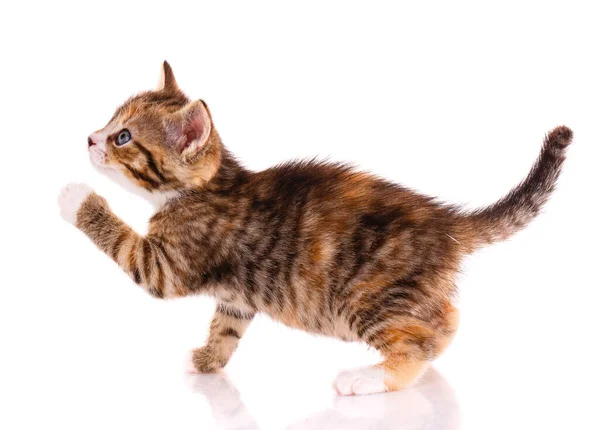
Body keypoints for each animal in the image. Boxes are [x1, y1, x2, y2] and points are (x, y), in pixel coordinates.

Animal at [57, 62, 572, 394]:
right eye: (110, 122)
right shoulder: (236, 297)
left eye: (123, 137)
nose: (89, 138)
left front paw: (76, 198)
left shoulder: (168, 264)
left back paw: (371, 377)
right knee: (445, 323)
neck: (203, 187)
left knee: (418, 341)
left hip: (366, 298)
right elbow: (226, 327)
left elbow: (123, 241)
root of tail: (446, 221)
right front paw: (207, 360)